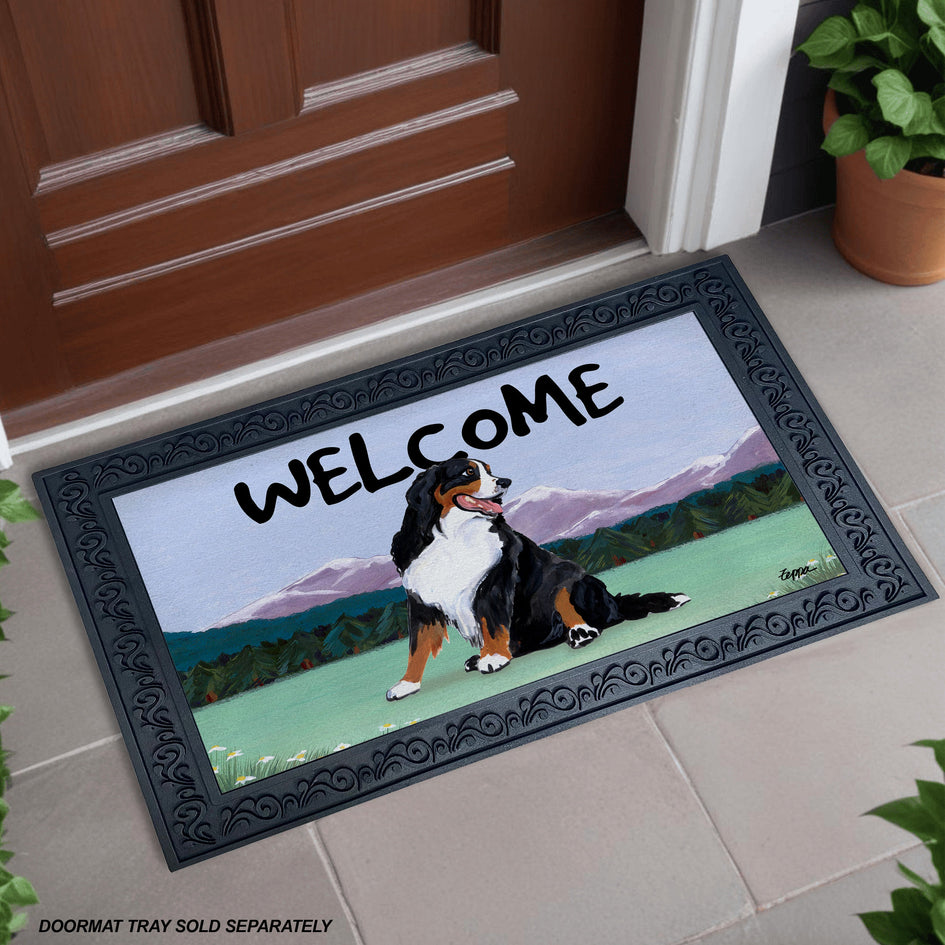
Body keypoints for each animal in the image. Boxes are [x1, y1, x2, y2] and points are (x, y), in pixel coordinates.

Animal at [388, 458, 688, 700]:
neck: (454, 537)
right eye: (468, 472)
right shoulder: (421, 601)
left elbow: (492, 624)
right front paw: (406, 684)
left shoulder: (494, 585)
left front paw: (495, 657)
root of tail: (613, 599)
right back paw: (479, 657)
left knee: (573, 606)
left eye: (489, 470)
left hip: (569, 576)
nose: (505, 482)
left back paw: (580, 633)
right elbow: (417, 647)